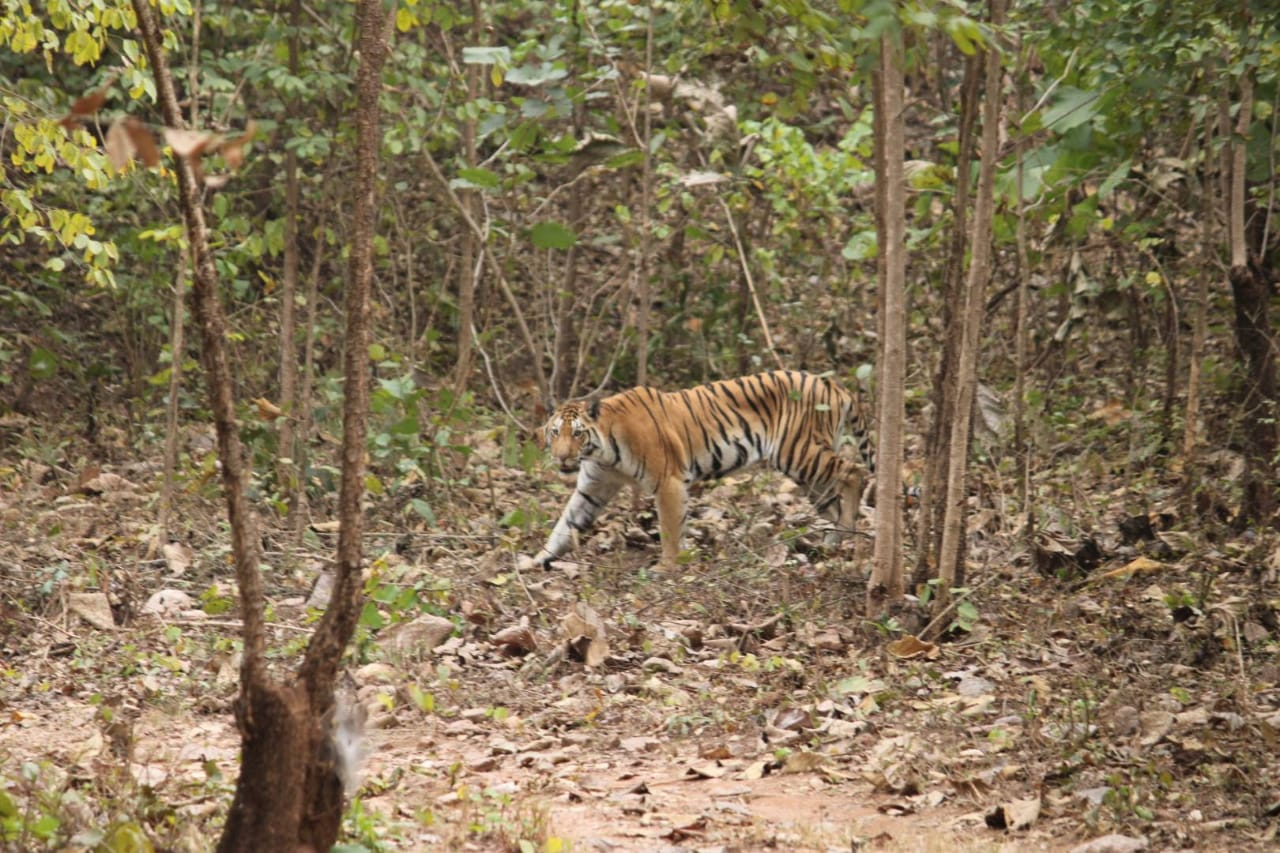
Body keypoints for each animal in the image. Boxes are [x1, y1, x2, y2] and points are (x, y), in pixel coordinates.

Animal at [530, 369, 873, 571]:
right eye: (555, 432)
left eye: (577, 434)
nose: (561, 458)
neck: (602, 453)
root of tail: (833, 384)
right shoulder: (593, 487)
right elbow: (565, 525)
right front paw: (535, 560)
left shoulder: (668, 481)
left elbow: (670, 529)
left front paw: (666, 568)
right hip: (807, 472)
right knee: (833, 501)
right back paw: (834, 541)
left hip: (798, 452)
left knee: (855, 471)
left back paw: (849, 533)